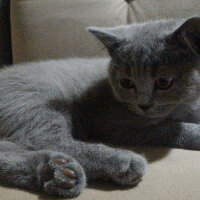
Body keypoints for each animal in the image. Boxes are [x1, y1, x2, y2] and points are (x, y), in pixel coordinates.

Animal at [0, 16, 200, 198]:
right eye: (126, 83)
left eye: (164, 82)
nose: (143, 104)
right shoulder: (113, 125)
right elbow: (168, 128)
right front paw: (194, 132)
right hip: (34, 103)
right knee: (46, 139)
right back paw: (121, 161)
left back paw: (58, 171)